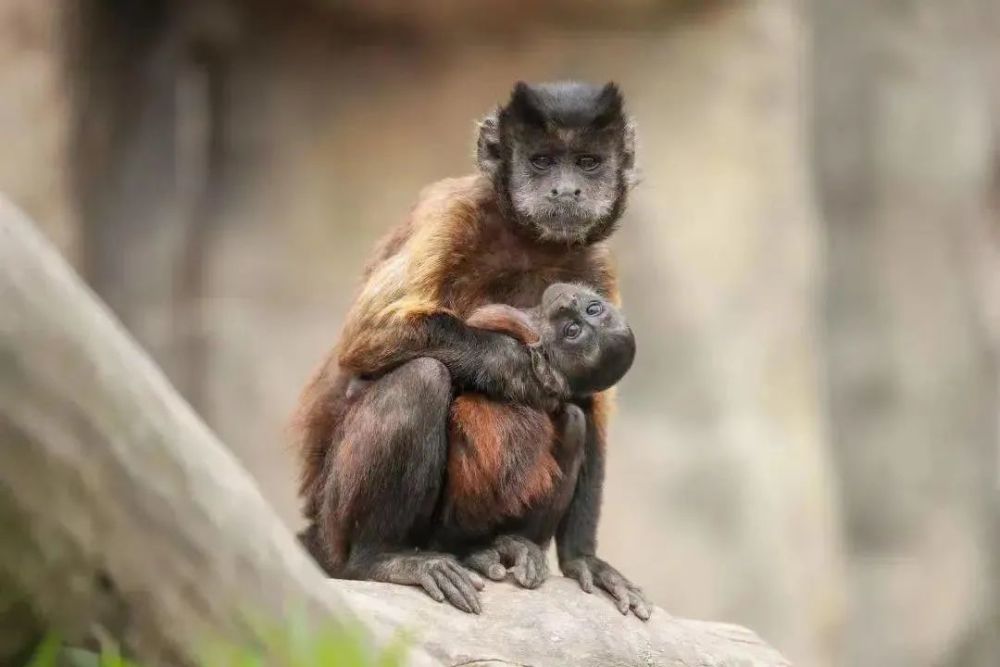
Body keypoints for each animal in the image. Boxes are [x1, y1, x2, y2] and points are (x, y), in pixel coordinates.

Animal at [292, 81, 648, 620]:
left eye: (588, 163)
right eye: (542, 161)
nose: (566, 190)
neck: (532, 242)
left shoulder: (596, 263)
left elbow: (591, 407)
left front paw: (584, 558)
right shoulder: (453, 212)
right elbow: (369, 336)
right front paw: (520, 369)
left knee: (573, 418)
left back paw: (501, 546)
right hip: (334, 524)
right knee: (421, 378)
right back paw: (381, 558)